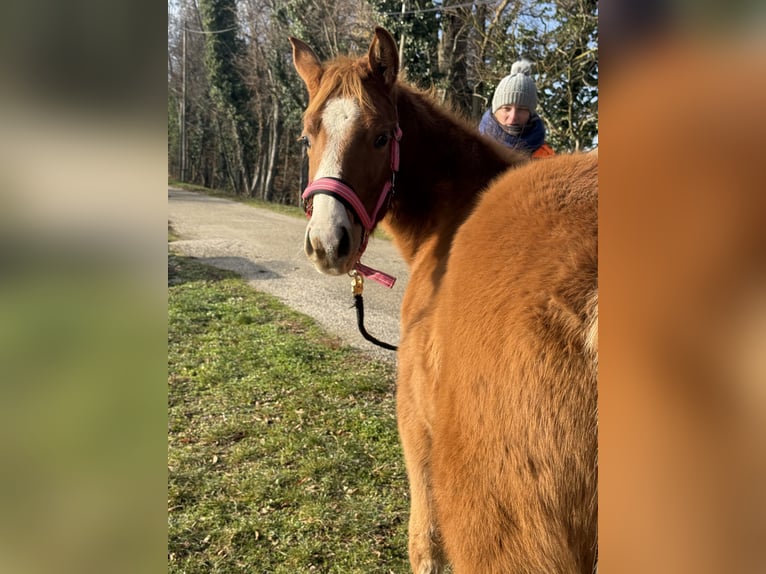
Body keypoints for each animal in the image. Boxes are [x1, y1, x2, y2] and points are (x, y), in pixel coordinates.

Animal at [290, 27, 598, 574]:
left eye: (381, 137)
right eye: (308, 138)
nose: (328, 242)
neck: (454, 212)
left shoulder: (416, 428)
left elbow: (424, 543)